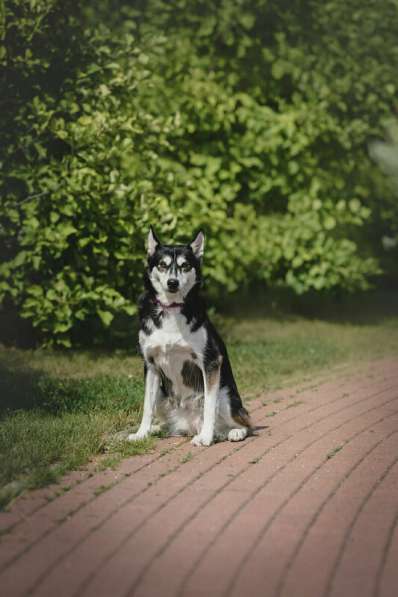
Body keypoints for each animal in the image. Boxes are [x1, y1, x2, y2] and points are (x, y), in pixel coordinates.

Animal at [128, 228, 252, 448]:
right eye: (162, 264)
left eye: (185, 265)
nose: (172, 283)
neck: (171, 309)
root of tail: (189, 425)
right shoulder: (150, 365)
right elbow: (146, 407)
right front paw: (141, 433)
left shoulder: (211, 362)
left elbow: (209, 406)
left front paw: (205, 438)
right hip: (162, 395)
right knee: (164, 420)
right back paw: (157, 429)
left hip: (226, 395)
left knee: (244, 421)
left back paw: (231, 432)